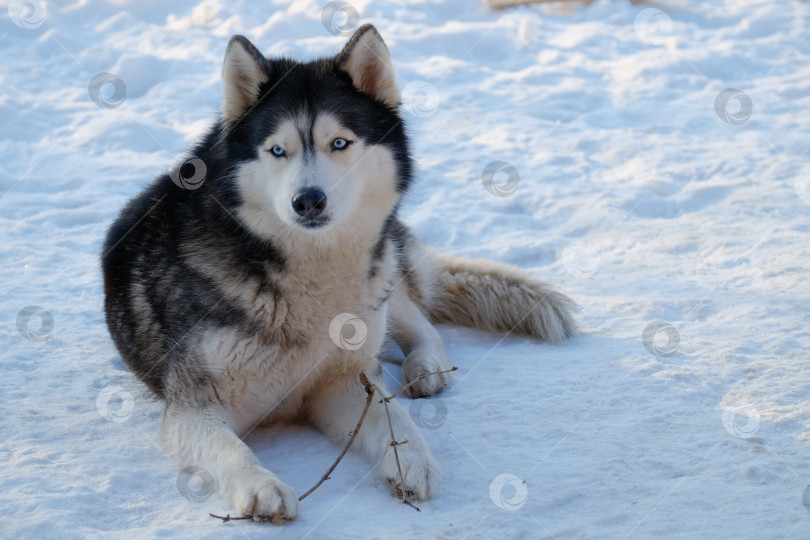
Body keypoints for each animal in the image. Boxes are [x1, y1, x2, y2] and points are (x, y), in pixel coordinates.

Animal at [102, 25, 576, 524]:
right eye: (277, 150)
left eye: (341, 143)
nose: (308, 200)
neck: (306, 277)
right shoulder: (193, 409)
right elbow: (228, 449)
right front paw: (262, 486)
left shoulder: (341, 382)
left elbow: (390, 415)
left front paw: (411, 458)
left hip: (382, 278)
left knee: (420, 325)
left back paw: (425, 368)